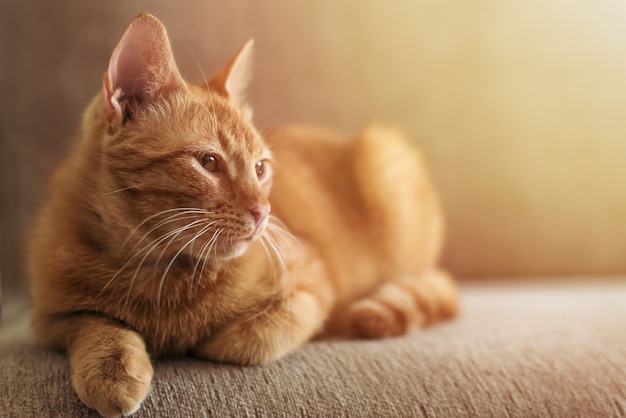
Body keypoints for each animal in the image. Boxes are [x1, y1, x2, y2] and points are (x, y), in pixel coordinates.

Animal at [26, 13, 456, 418]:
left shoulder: (311, 284)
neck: (159, 271)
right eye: (209, 162)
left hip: (386, 158)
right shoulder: (49, 319)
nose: (264, 211)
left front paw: (206, 341)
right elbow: (95, 323)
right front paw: (113, 369)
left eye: (260, 168)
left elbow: (254, 339)